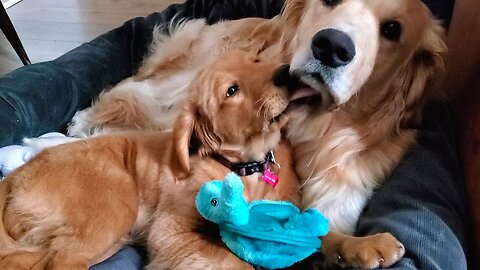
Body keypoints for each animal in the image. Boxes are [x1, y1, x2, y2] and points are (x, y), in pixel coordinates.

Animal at [0, 51, 298, 270]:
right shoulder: (171, 230)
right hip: (114, 203)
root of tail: (15, 176)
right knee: (61, 262)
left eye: (256, 61)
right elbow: (232, 261)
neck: (247, 166)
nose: (286, 73)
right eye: (231, 90)